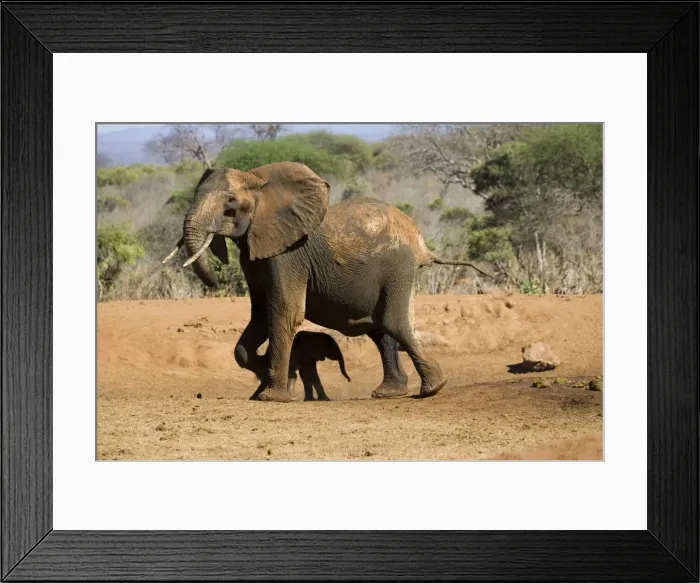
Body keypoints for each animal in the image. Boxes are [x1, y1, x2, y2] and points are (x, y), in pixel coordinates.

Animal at [165, 161, 488, 402]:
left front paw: (272, 396)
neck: (260, 181)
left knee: (394, 322)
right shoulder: (254, 253)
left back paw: (432, 389)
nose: (215, 281)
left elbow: (283, 312)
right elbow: (257, 320)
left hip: (398, 268)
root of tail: (420, 241)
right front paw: (263, 380)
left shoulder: (288, 254)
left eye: (230, 203)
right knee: (380, 328)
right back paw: (390, 393)